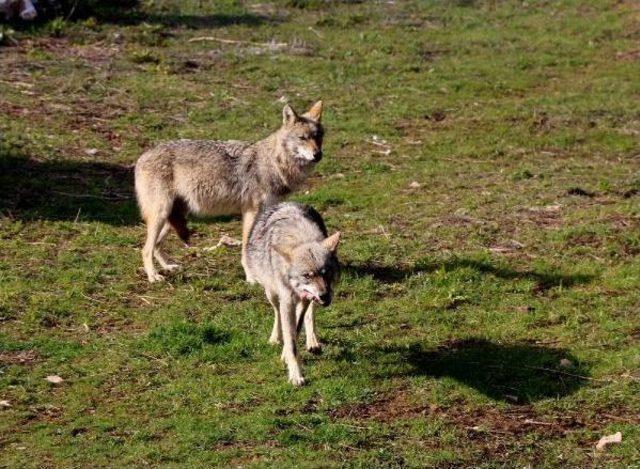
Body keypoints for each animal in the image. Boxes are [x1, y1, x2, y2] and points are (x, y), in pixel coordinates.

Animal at [136, 100, 324, 282]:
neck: (274, 163)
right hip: (161, 213)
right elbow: (247, 248)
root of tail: (142, 156)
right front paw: (251, 277)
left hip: (174, 216)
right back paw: (153, 276)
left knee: (156, 246)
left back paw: (168, 267)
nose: (318, 155)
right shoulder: (250, 212)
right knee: (146, 249)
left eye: (318, 137)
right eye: (302, 138)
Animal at [245, 201, 340, 384]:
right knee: (277, 314)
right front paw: (296, 375)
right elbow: (291, 339)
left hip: (307, 299)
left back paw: (313, 342)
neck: (300, 237)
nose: (325, 296)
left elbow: (296, 328)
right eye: (307, 276)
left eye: (326, 273)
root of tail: (287, 202)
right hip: (272, 294)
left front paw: (287, 355)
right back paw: (275, 338)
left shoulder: (305, 298)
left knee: (308, 316)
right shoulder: (288, 301)